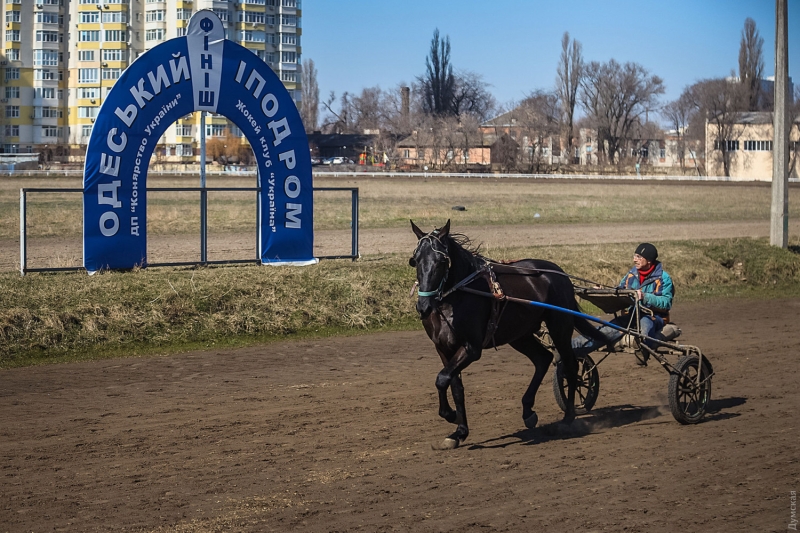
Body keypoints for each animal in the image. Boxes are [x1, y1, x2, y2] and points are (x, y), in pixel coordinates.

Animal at [412, 220, 608, 448]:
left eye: (442, 261)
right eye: (415, 261)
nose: (423, 306)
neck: (455, 297)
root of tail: (559, 273)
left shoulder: (472, 348)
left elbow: (442, 379)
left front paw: (451, 415)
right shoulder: (443, 348)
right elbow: (454, 386)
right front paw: (459, 431)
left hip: (559, 327)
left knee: (570, 366)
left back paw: (568, 417)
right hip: (519, 335)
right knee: (543, 358)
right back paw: (528, 411)